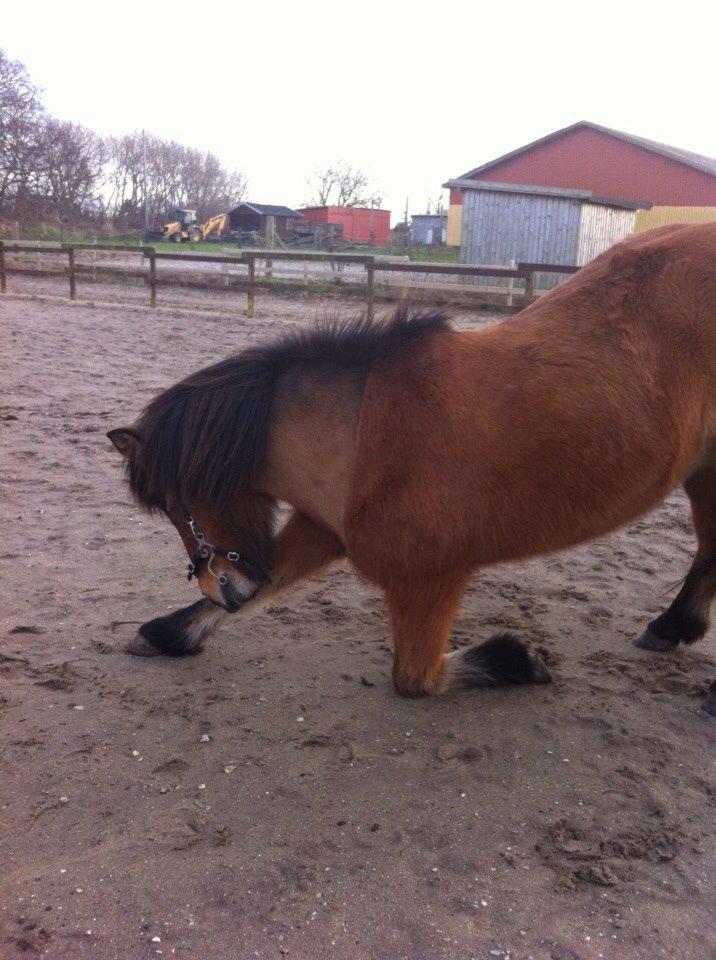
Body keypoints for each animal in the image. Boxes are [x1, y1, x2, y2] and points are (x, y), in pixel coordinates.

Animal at [107, 225, 716, 704]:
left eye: (178, 503)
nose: (225, 589)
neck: (358, 432)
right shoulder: (324, 530)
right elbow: (268, 581)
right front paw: (167, 634)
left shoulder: (430, 580)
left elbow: (417, 679)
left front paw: (516, 660)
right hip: (704, 471)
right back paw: (670, 628)